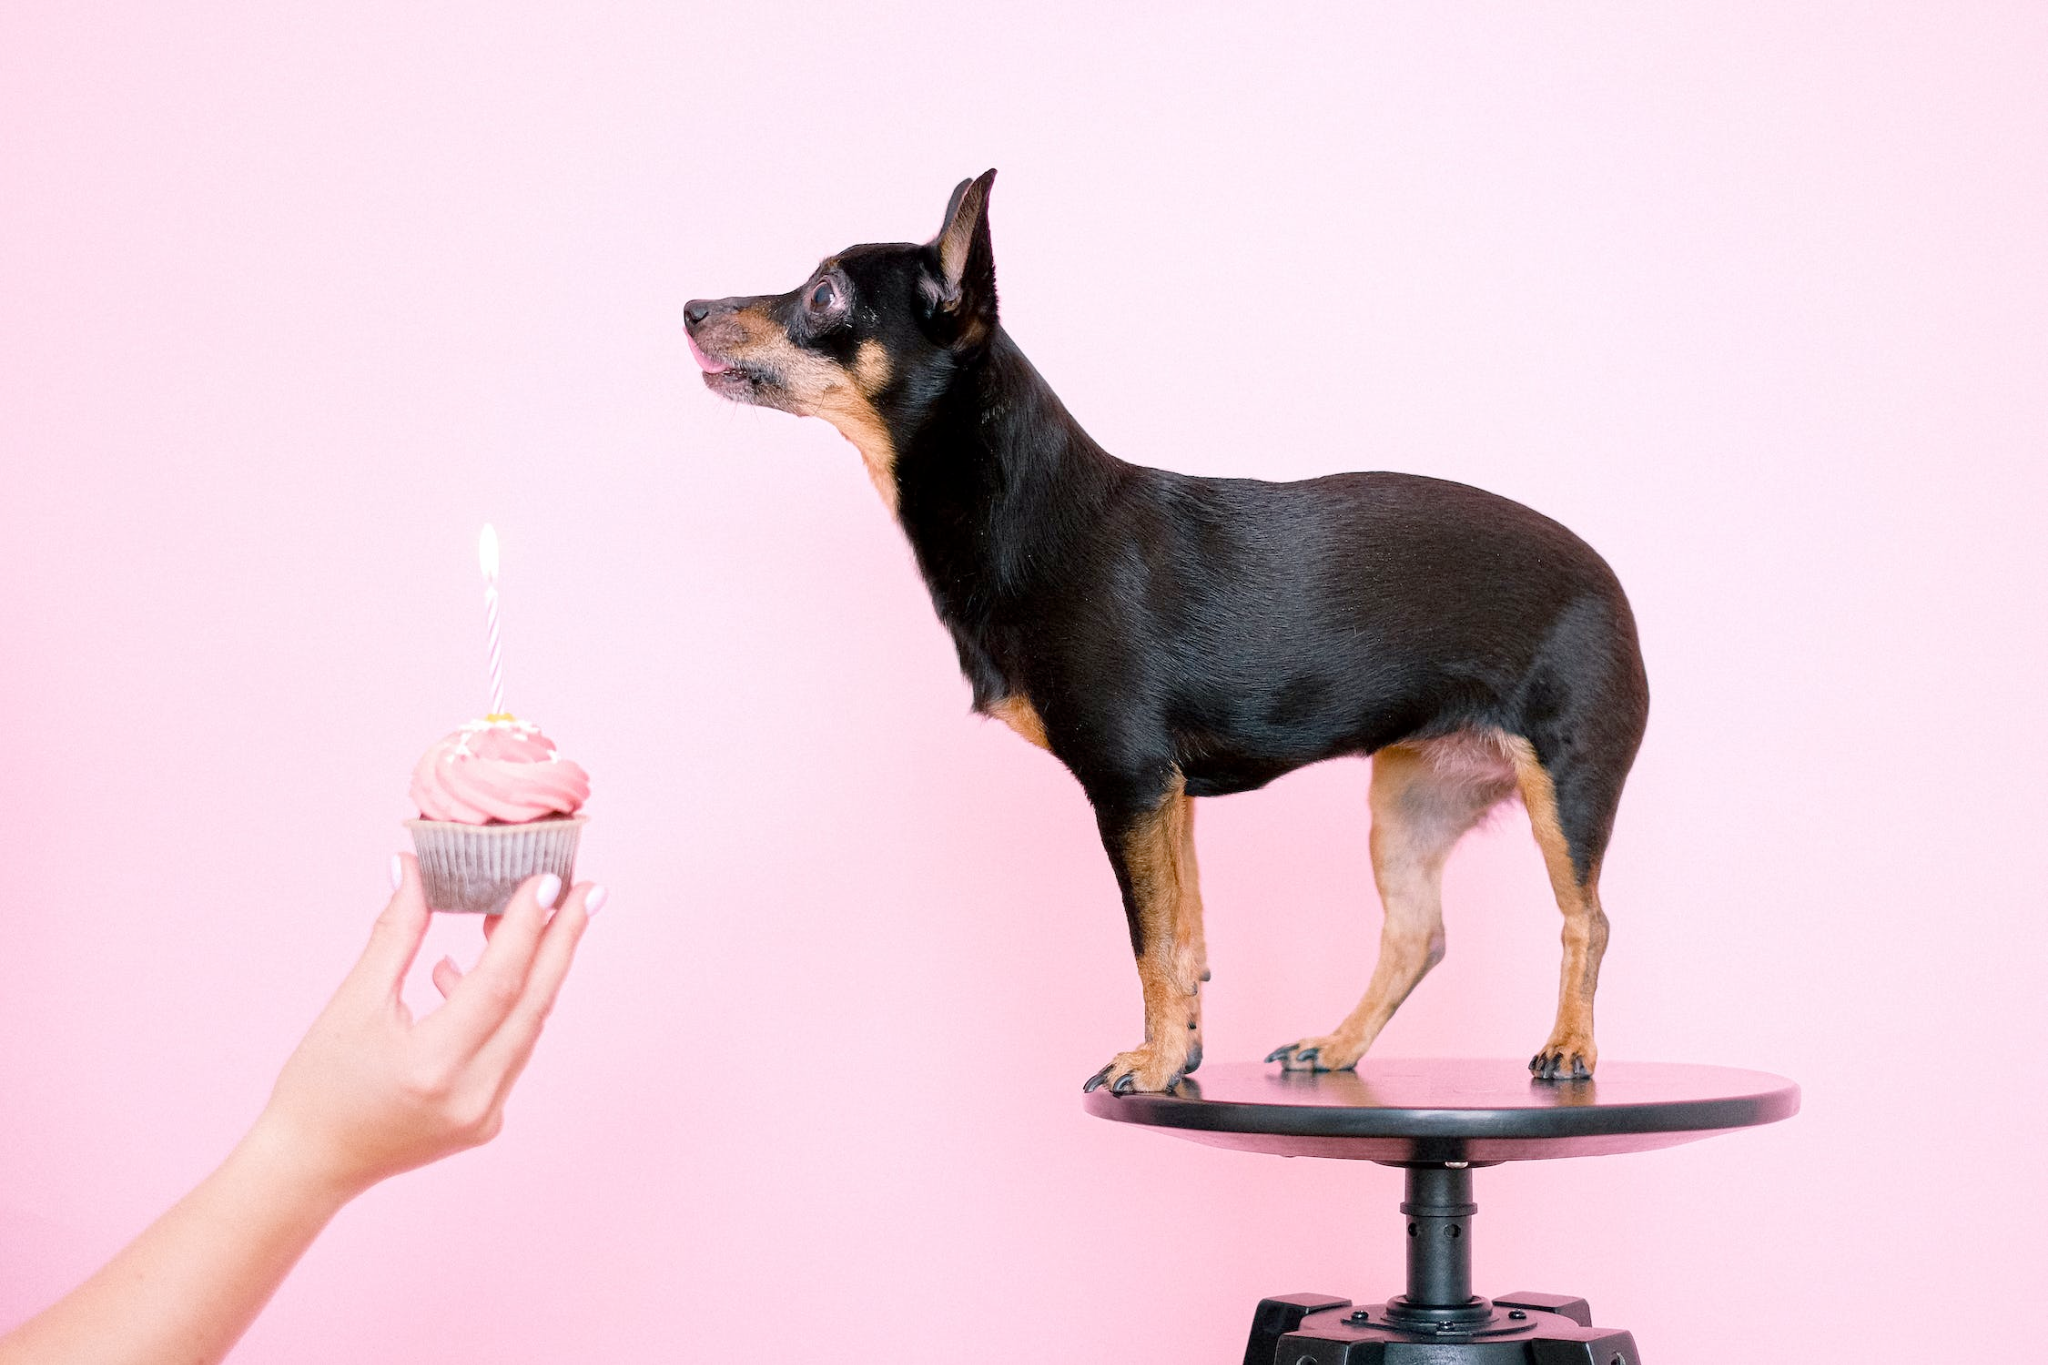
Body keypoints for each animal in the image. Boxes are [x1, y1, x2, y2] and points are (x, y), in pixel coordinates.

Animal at [688, 170, 1646, 1096]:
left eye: (823, 295)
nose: (691, 308)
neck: (1028, 511)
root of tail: (1612, 581)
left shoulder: (1130, 786)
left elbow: (1150, 942)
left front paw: (1150, 1064)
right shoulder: (1169, 798)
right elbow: (1184, 941)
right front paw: (1178, 1051)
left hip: (1564, 789)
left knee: (1587, 920)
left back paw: (1569, 1045)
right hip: (1407, 803)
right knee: (1419, 935)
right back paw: (1337, 1044)